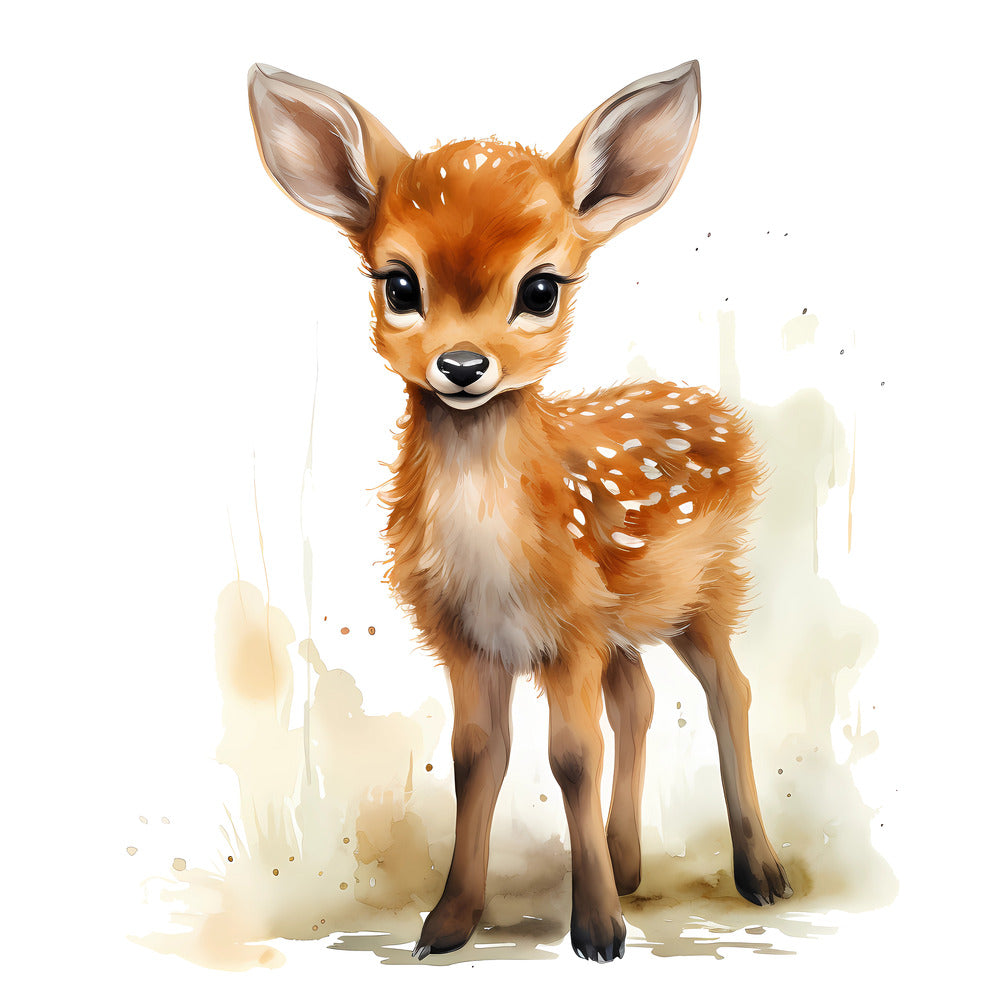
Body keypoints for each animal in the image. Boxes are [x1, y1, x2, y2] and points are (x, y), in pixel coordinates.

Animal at [247, 59, 792, 963]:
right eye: (399, 284)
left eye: (540, 289)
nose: (464, 365)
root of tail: (724, 418)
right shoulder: (472, 640)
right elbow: (478, 756)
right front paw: (448, 923)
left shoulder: (568, 630)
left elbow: (571, 756)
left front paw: (597, 931)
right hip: (624, 622)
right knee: (639, 699)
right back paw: (628, 864)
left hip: (708, 587)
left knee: (732, 693)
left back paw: (761, 874)